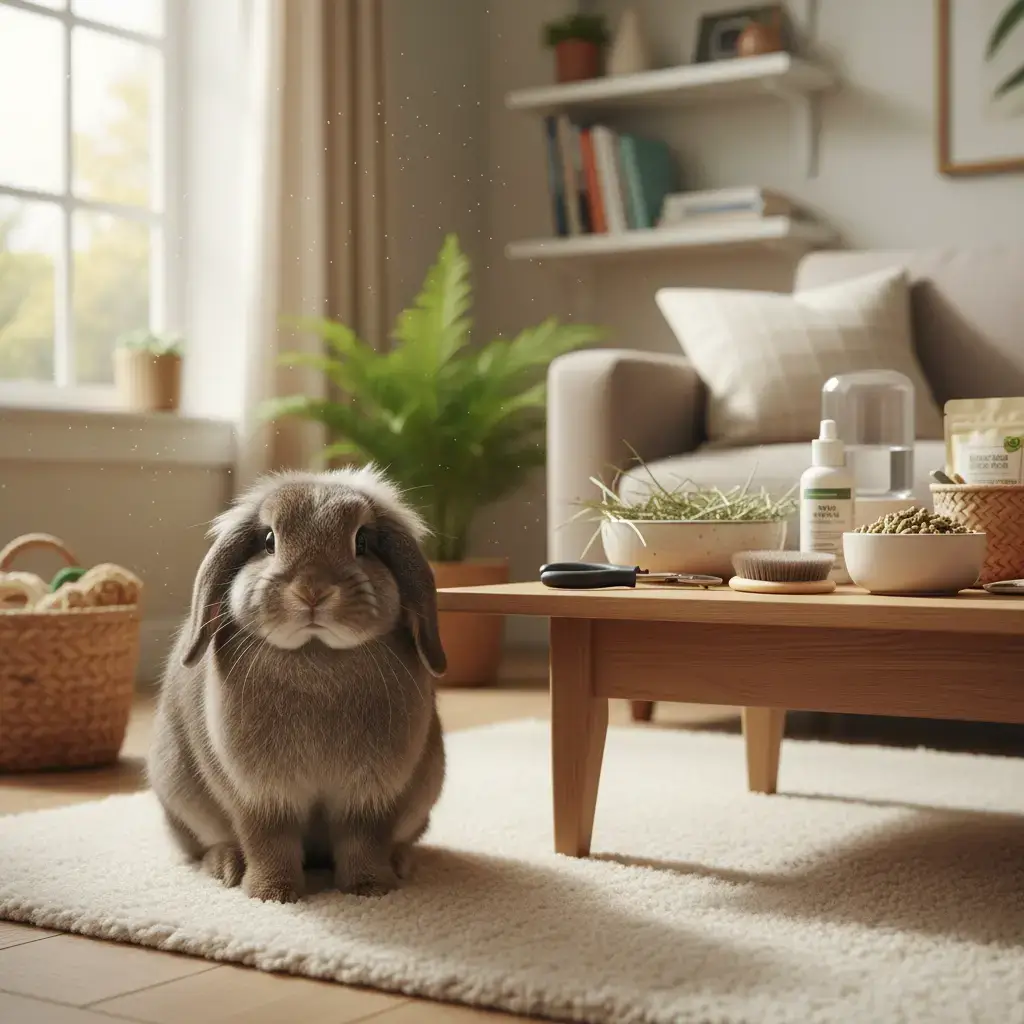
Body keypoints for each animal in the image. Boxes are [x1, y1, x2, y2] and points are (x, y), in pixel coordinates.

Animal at [147, 465, 447, 903]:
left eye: (362, 541)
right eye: (269, 540)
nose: (312, 591)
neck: (315, 653)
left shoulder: (370, 799)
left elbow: (365, 842)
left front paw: (371, 889)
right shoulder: (262, 798)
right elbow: (269, 842)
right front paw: (272, 894)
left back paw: (401, 863)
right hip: (179, 795)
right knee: (207, 844)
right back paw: (226, 866)